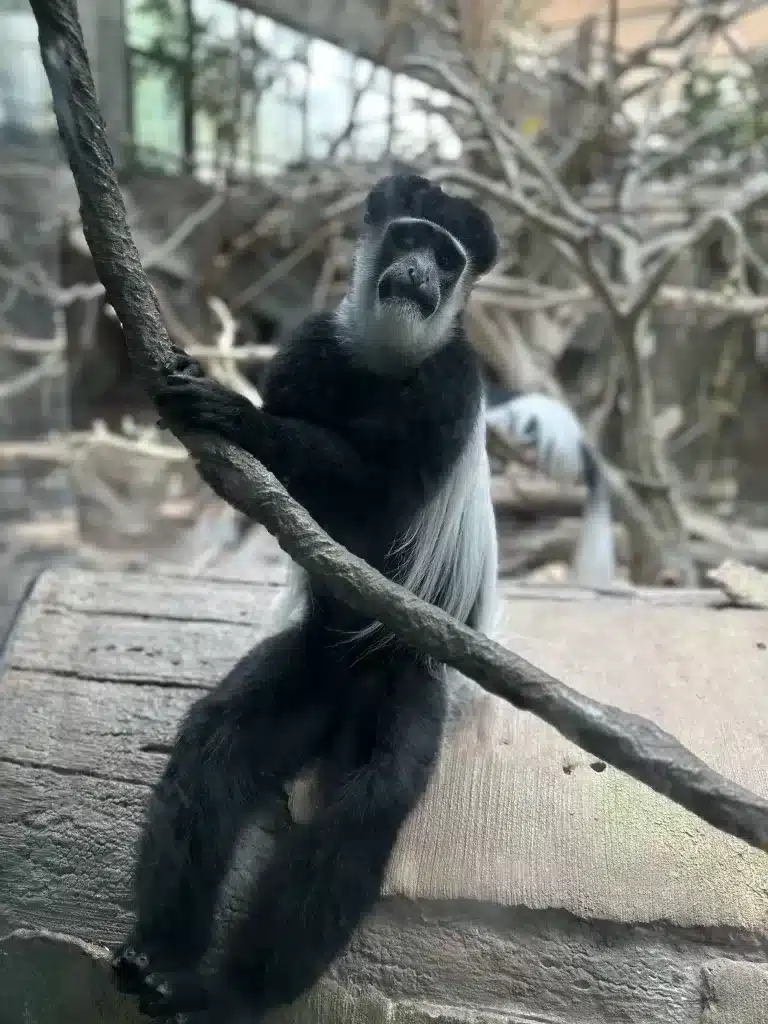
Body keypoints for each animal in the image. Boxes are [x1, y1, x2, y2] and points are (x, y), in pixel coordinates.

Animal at [111, 172, 501, 1019]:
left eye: (447, 258)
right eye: (408, 238)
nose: (418, 274)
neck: (386, 361)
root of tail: (345, 698)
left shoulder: (452, 388)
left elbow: (384, 500)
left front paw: (238, 415)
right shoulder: (313, 344)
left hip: (403, 683)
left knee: (367, 808)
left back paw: (232, 991)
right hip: (305, 670)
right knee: (214, 751)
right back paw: (159, 956)